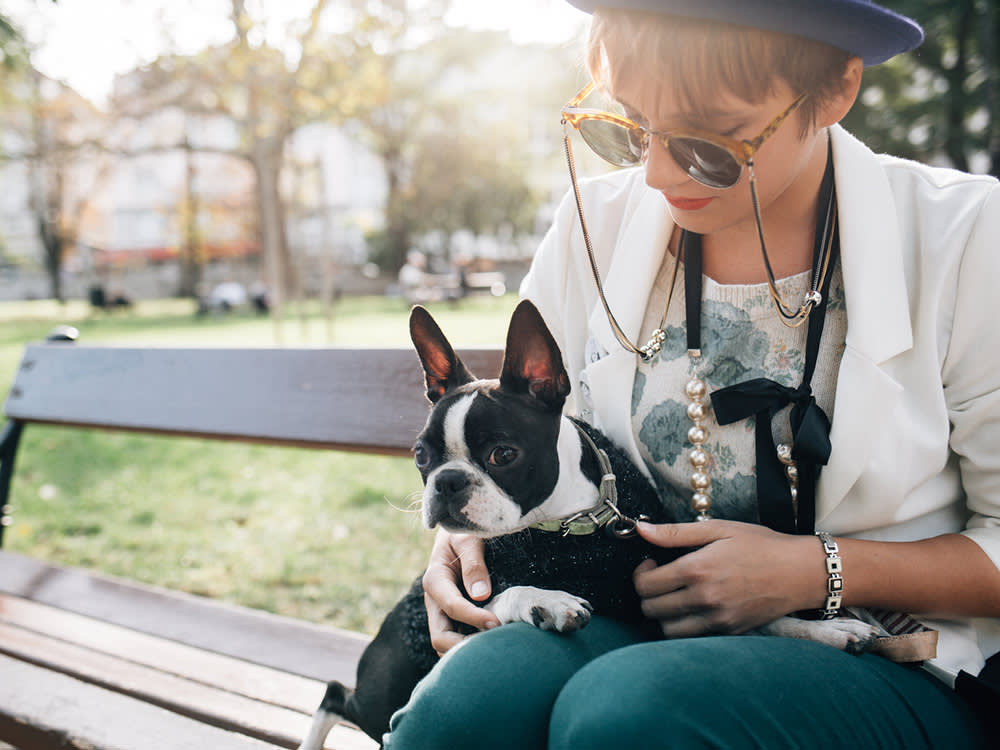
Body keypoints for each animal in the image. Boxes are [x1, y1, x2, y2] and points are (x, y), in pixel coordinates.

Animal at [296, 302, 876, 748]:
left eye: (503, 454)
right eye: (420, 455)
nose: (447, 483)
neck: (570, 526)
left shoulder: (658, 601)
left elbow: (757, 622)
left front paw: (823, 629)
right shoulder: (468, 597)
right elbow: (500, 593)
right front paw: (545, 601)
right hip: (389, 685)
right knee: (334, 694)